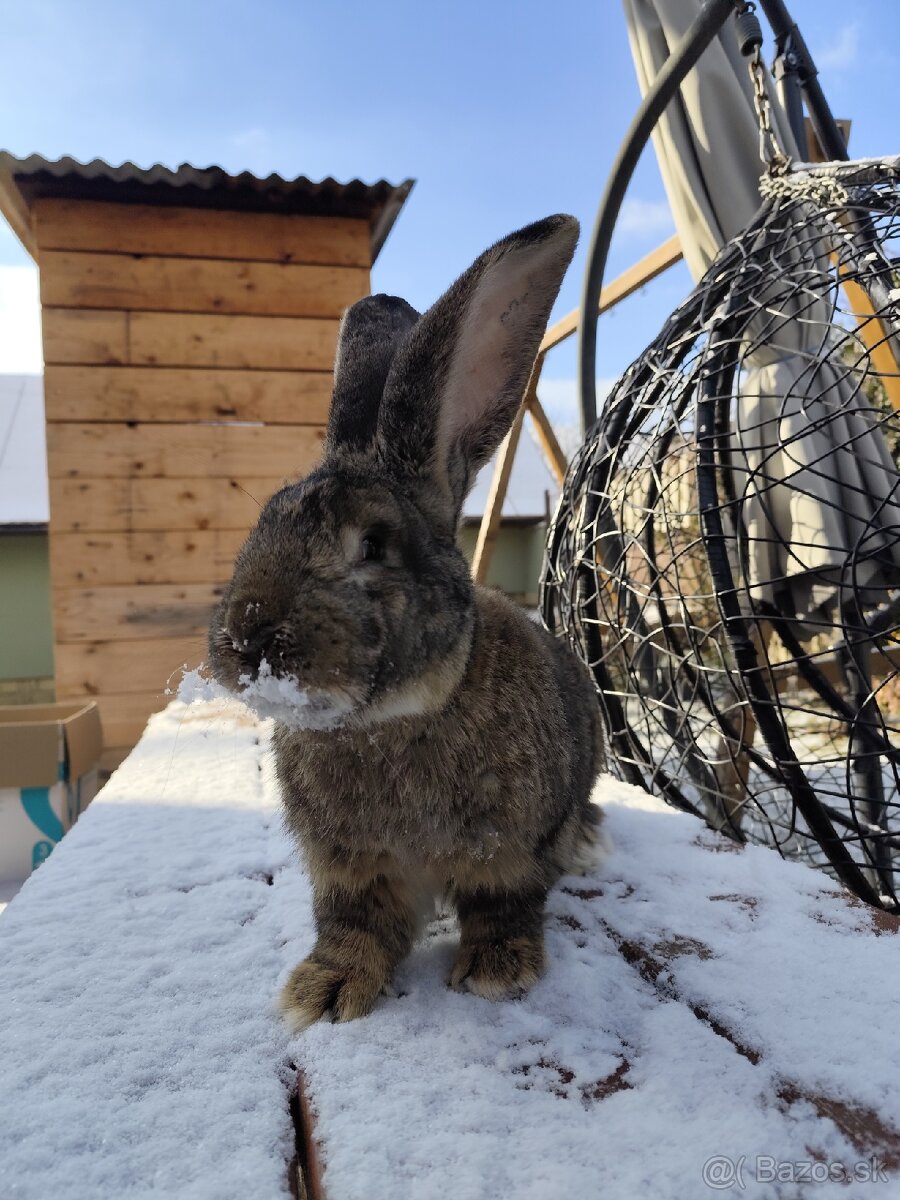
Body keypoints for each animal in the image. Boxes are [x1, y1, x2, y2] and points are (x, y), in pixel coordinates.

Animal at [207, 208, 609, 1032]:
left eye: (374, 544)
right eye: (260, 525)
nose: (247, 641)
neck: (391, 721)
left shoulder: (507, 855)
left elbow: (503, 906)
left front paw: (498, 971)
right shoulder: (349, 874)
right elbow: (353, 928)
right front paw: (323, 992)